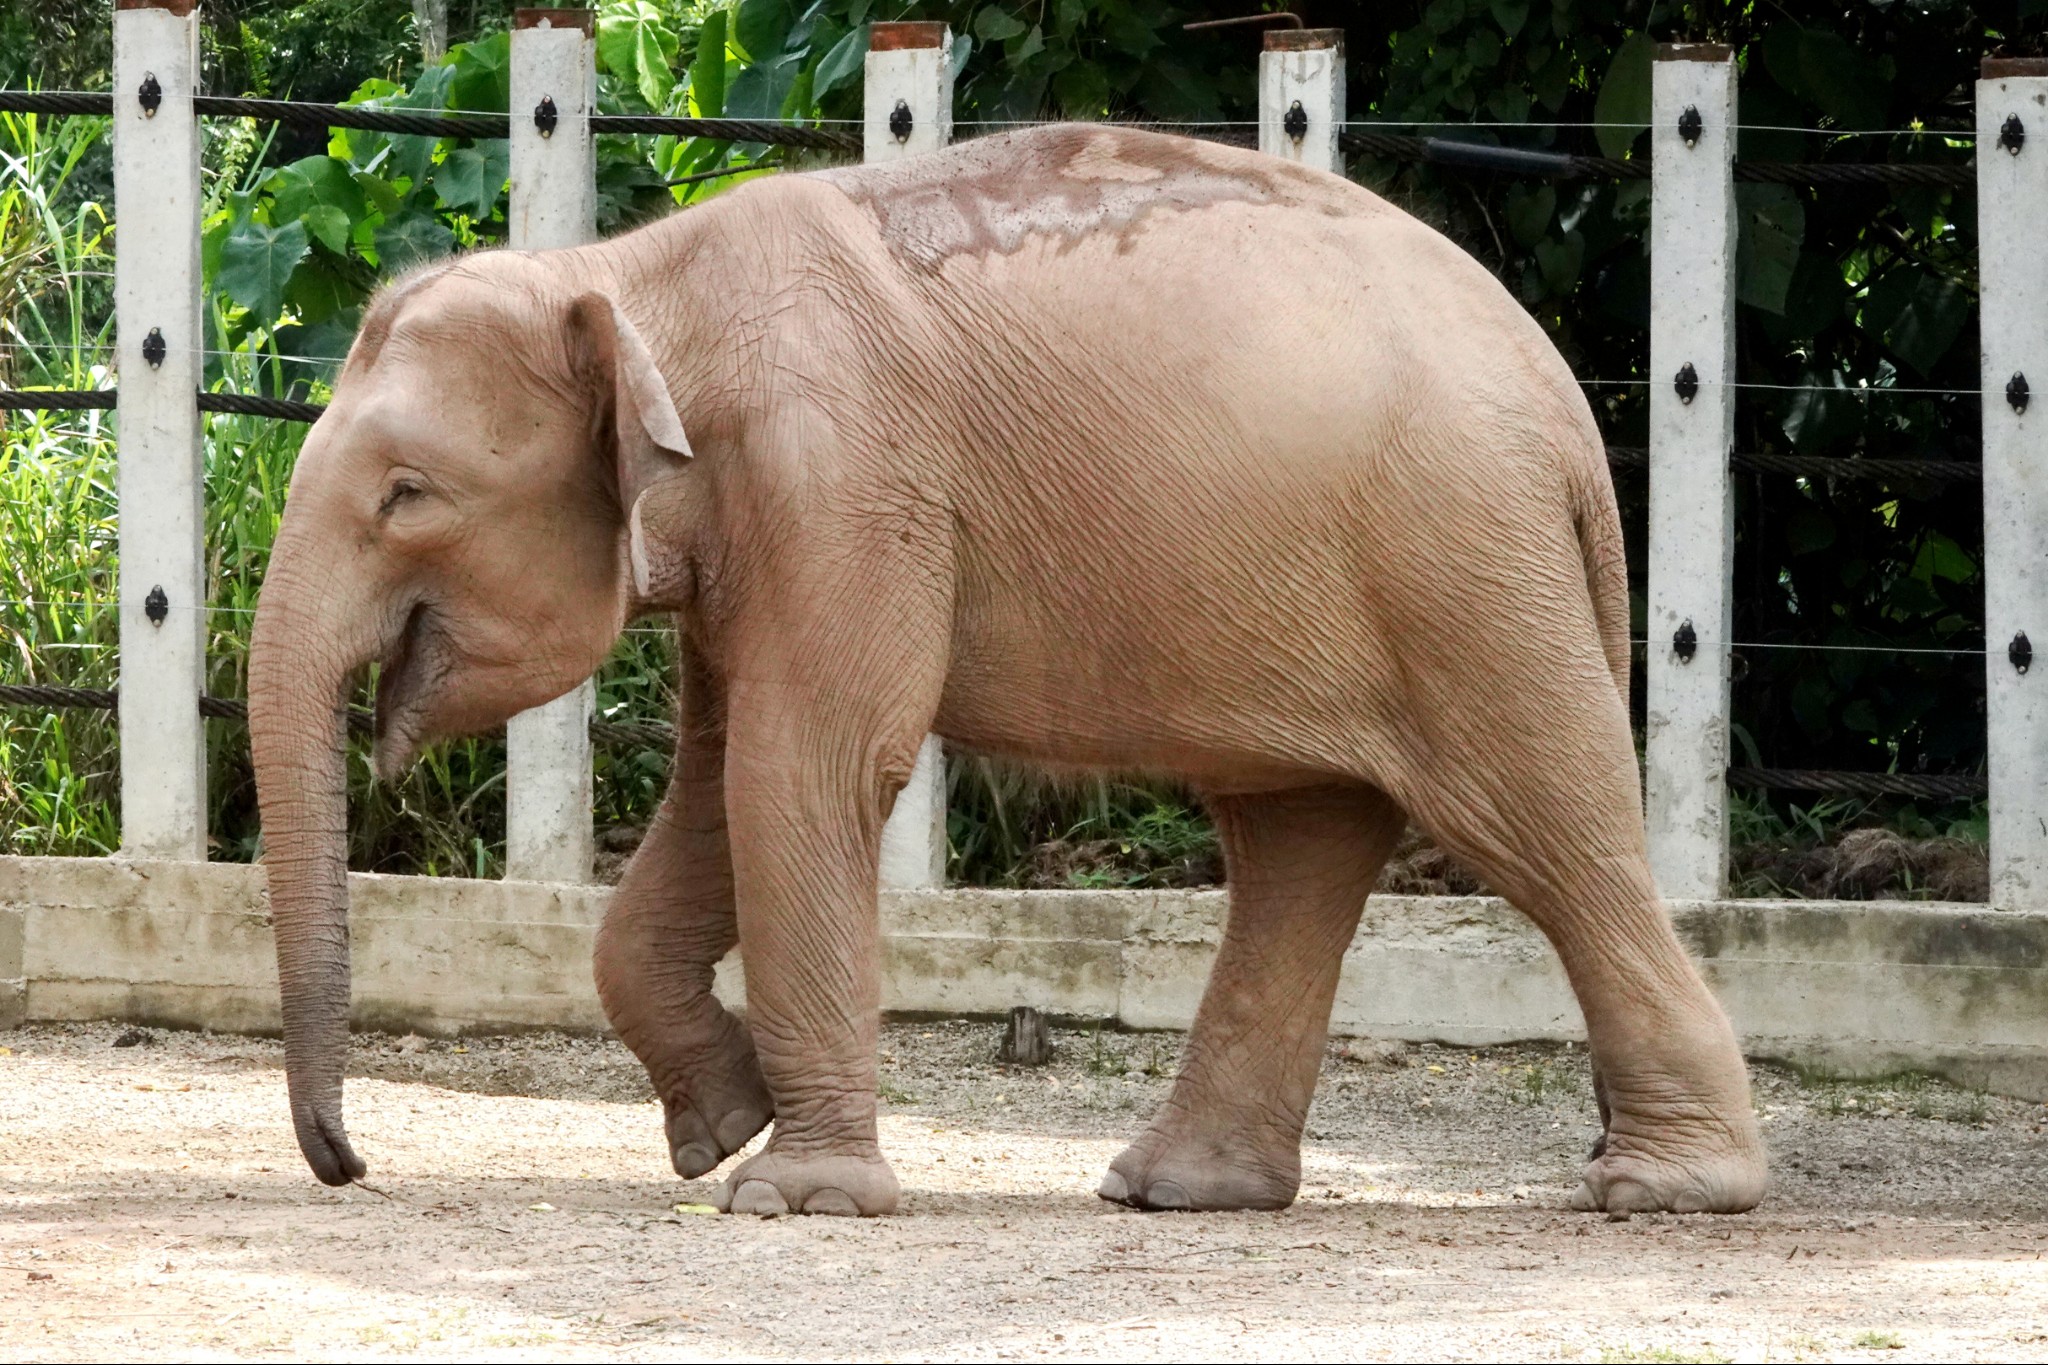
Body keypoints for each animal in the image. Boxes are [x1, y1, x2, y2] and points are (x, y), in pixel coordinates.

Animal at [247, 125, 1769, 1219]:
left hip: (1465, 567)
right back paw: (1180, 1191)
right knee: (1301, 836)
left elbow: (805, 768)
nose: (350, 1165)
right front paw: (718, 1131)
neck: (633, 275)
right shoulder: (762, 533)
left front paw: (794, 1197)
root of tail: (1569, 413)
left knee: (1543, 821)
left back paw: (1664, 1189)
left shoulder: (844, 482)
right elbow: (721, 782)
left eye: (405, 494)